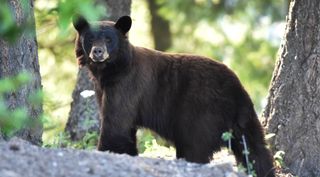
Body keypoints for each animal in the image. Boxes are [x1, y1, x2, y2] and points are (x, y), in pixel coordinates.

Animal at [72, 15, 276, 177]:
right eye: (90, 38)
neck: (110, 70)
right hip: (244, 116)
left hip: (200, 112)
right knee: (255, 148)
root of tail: (235, 88)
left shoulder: (126, 84)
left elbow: (116, 123)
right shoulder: (105, 88)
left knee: (194, 146)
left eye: (108, 39)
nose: (98, 52)